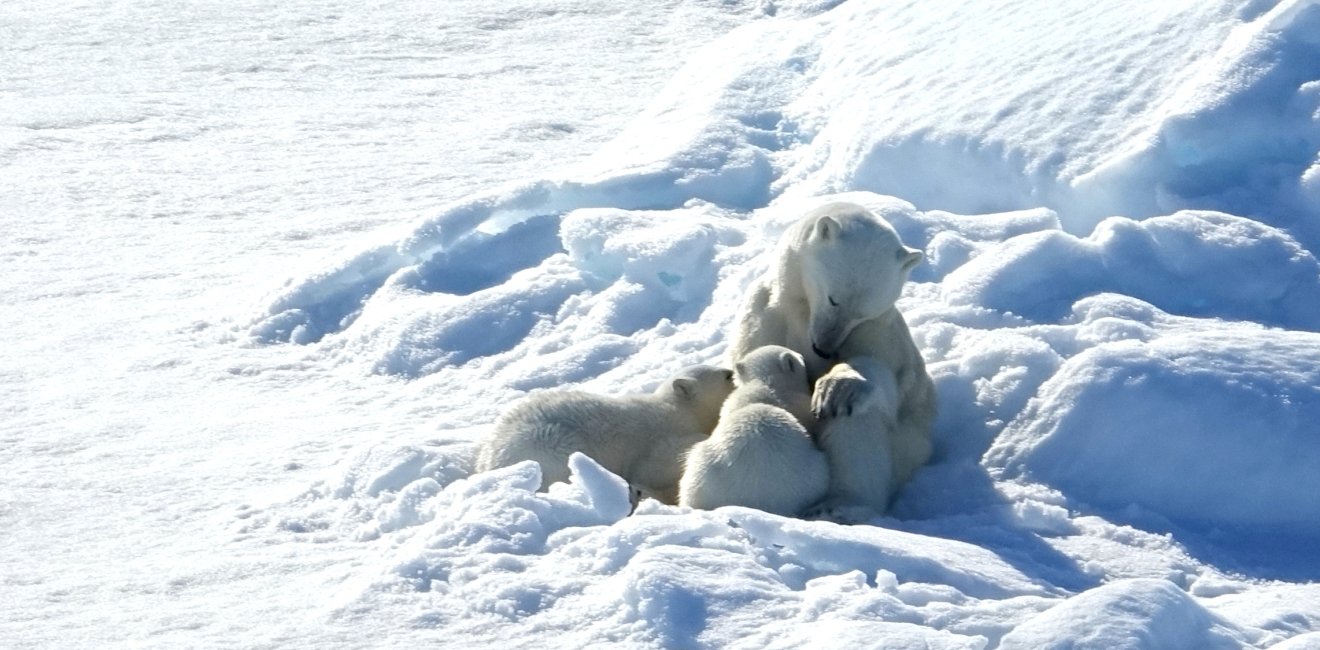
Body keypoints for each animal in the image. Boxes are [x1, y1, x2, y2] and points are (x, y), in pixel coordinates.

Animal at [728, 200, 934, 515]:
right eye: (833, 299)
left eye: (863, 313)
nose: (824, 349)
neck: (803, 311)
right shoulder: (765, 312)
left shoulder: (880, 330)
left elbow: (888, 378)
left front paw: (839, 386)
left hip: (908, 446)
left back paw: (840, 505)